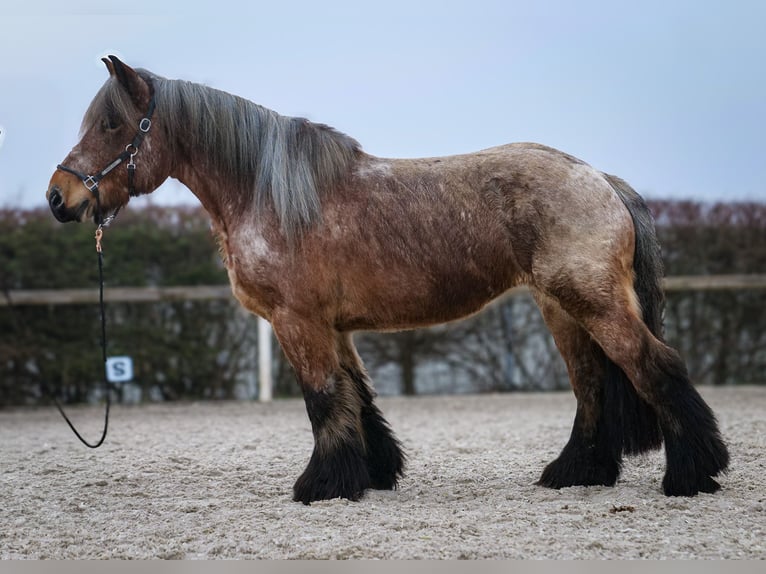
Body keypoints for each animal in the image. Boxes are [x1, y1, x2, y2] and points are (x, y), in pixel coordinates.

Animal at [45, 55, 728, 504]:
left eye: (112, 125)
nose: (59, 197)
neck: (267, 193)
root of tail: (600, 178)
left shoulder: (298, 323)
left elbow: (323, 398)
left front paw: (321, 485)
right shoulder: (334, 327)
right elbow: (358, 399)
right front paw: (370, 475)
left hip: (594, 304)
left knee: (655, 367)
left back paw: (692, 475)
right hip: (562, 309)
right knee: (591, 386)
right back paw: (577, 472)